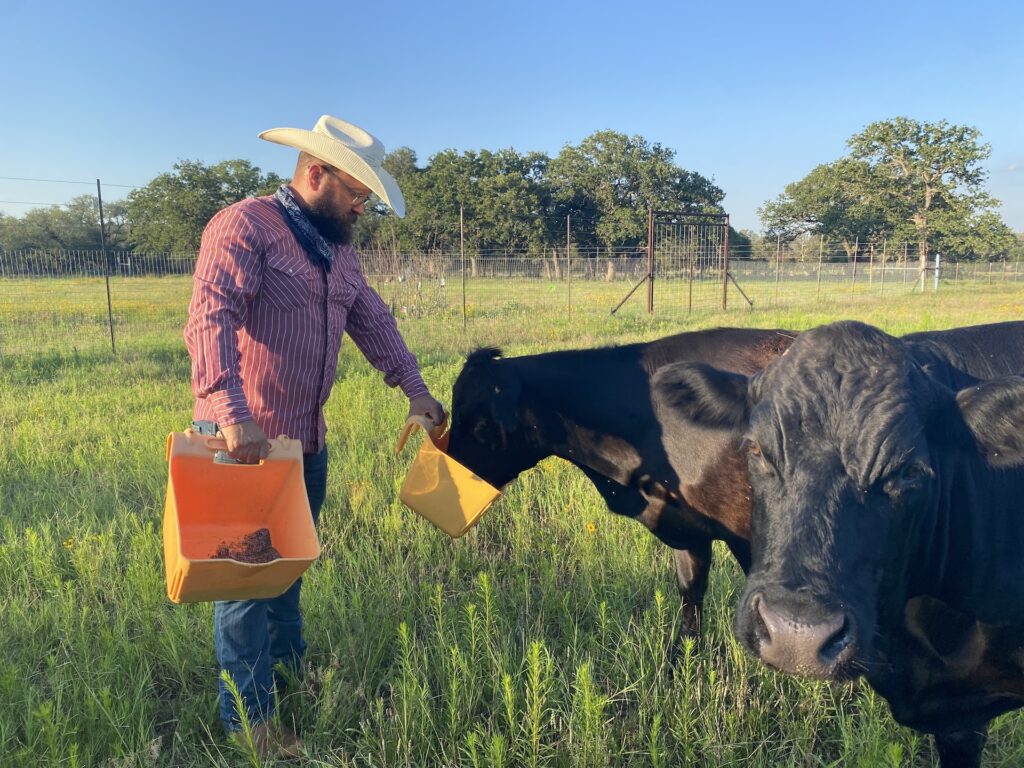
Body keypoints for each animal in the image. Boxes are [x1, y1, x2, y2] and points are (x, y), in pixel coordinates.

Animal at [446, 321, 1024, 647]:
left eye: (481, 425)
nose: (451, 473)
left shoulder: (758, 538)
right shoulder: (690, 526)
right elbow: (691, 595)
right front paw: (685, 659)